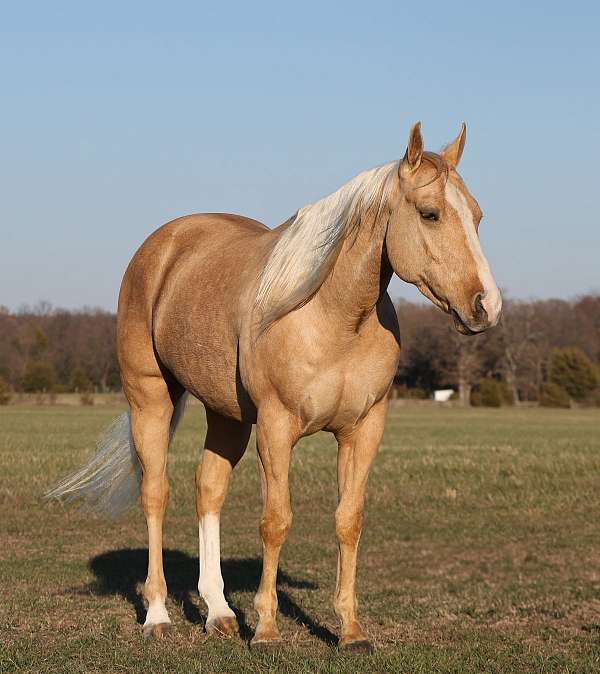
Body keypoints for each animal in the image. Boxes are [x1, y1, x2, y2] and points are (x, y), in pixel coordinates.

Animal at [48, 122, 502, 652]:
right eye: (430, 213)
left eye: (477, 215)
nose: (487, 306)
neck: (333, 316)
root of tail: (164, 245)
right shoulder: (276, 428)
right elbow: (276, 521)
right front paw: (266, 630)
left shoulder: (363, 431)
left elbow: (349, 520)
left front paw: (350, 631)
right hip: (151, 400)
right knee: (155, 493)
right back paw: (158, 615)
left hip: (226, 416)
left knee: (209, 491)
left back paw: (220, 613)